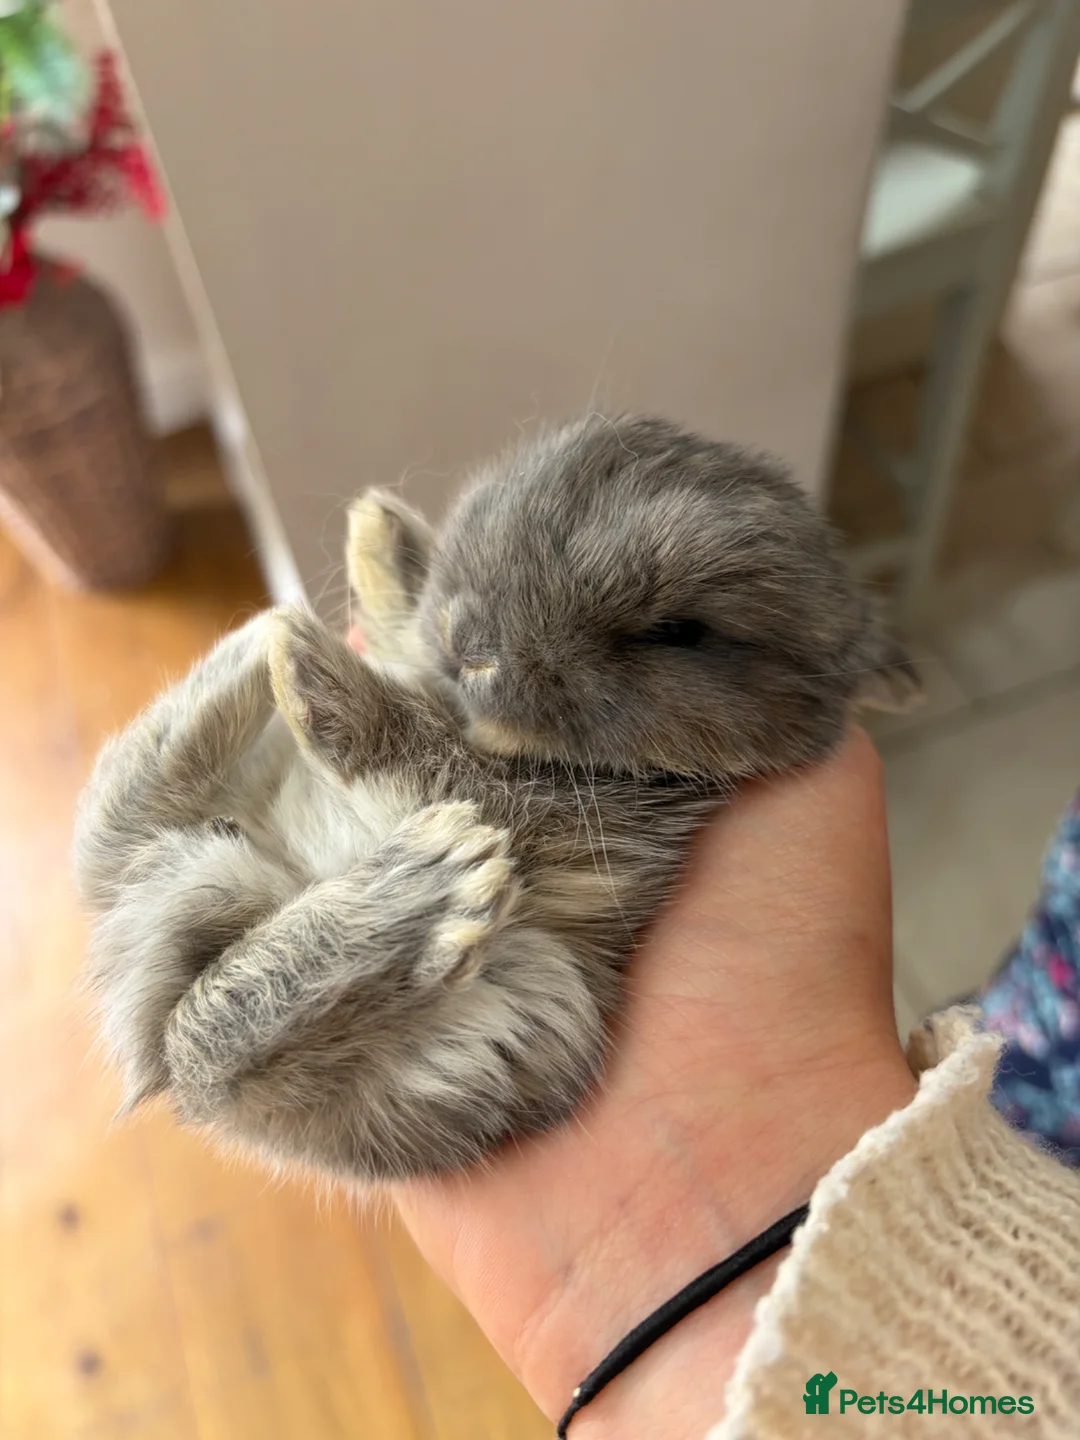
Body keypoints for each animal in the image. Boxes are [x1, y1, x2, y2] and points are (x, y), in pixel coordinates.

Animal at [73, 414, 920, 1185]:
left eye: (679, 631)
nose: (470, 643)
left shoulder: (576, 829)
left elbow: (436, 766)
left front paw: (336, 679)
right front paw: (382, 538)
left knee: (213, 1039)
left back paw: (422, 860)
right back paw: (266, 640)